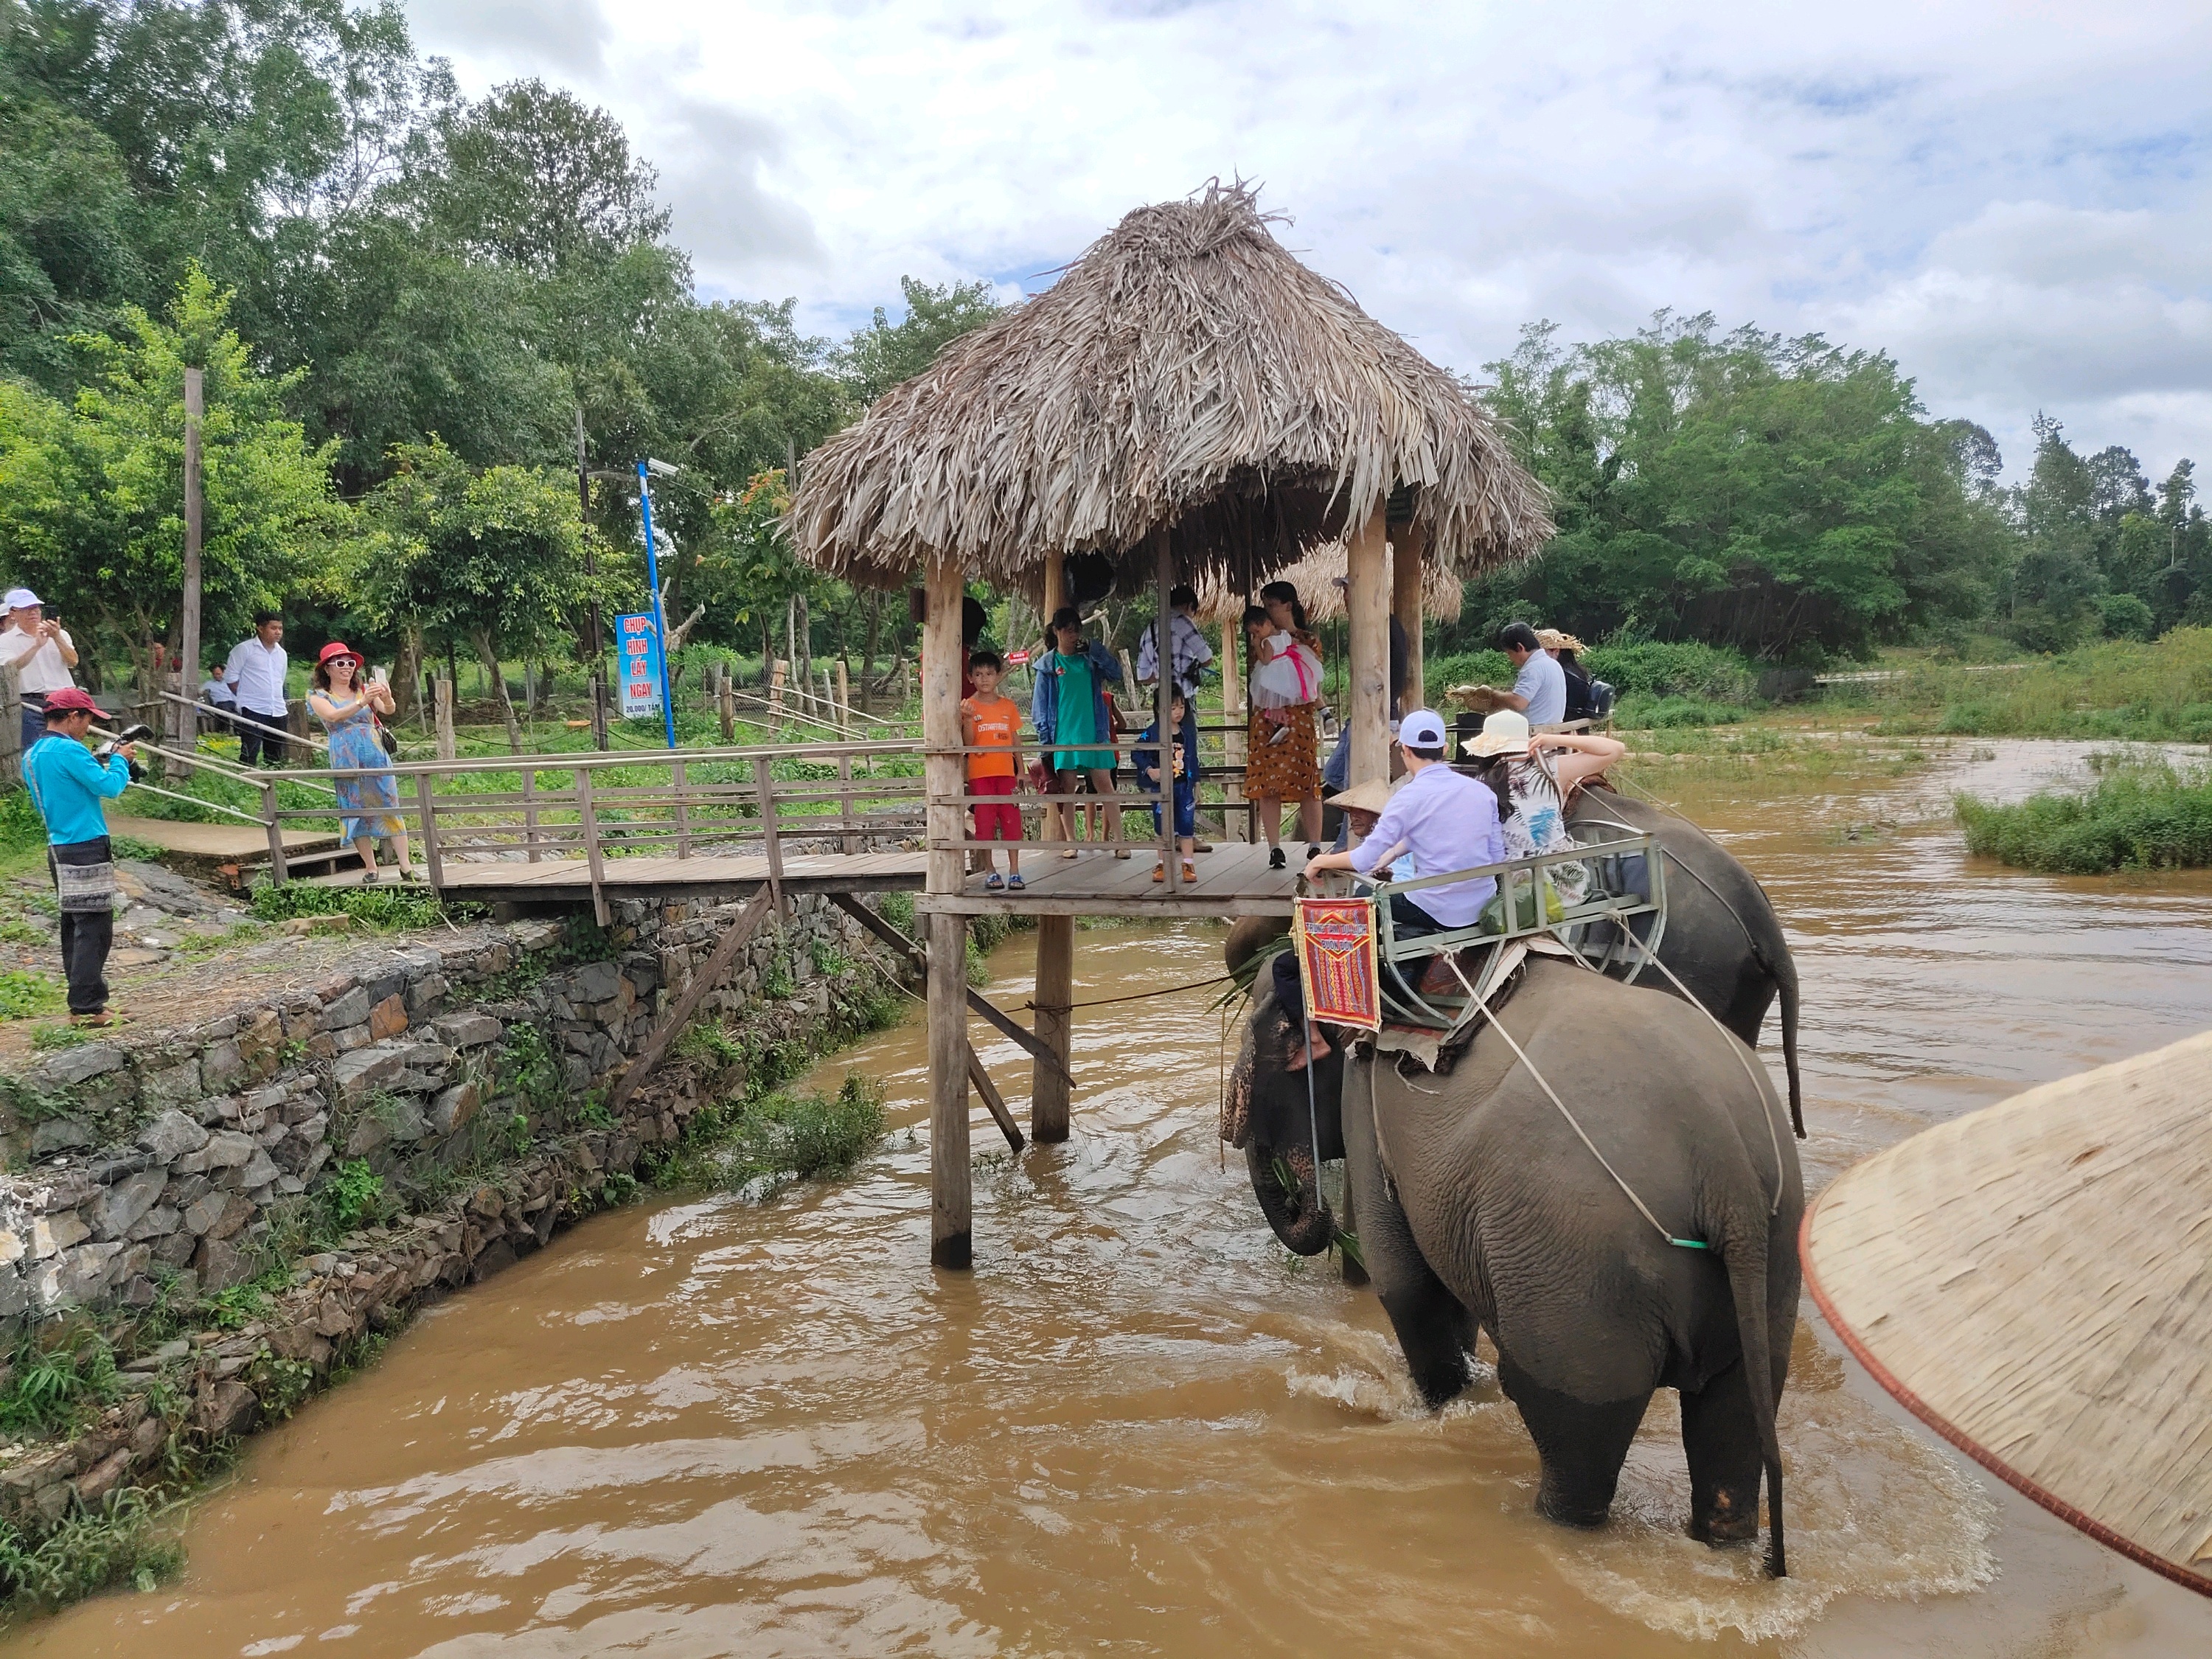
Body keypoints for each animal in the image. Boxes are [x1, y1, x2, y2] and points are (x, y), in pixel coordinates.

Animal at [1230, 956, 1796, 1575]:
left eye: (1269, 1048)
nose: (1314, 1207)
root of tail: (1729, 1172)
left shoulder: (1366, 1103)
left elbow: (1405, 1282)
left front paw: (1438, 1408)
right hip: (1771, 1259)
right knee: (1734, 1424)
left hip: (1579, 1275)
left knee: (1575, 1442)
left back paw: (1549, 1522)